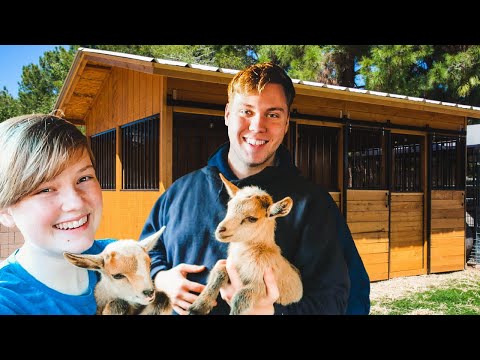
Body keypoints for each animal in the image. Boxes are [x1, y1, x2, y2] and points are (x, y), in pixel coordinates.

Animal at [189, 174, 302, 316]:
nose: (221, 230)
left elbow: (240, 297)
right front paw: (198, 307)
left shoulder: (262, 285)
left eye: (252, 218)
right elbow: (218, 273)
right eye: (229, 206)